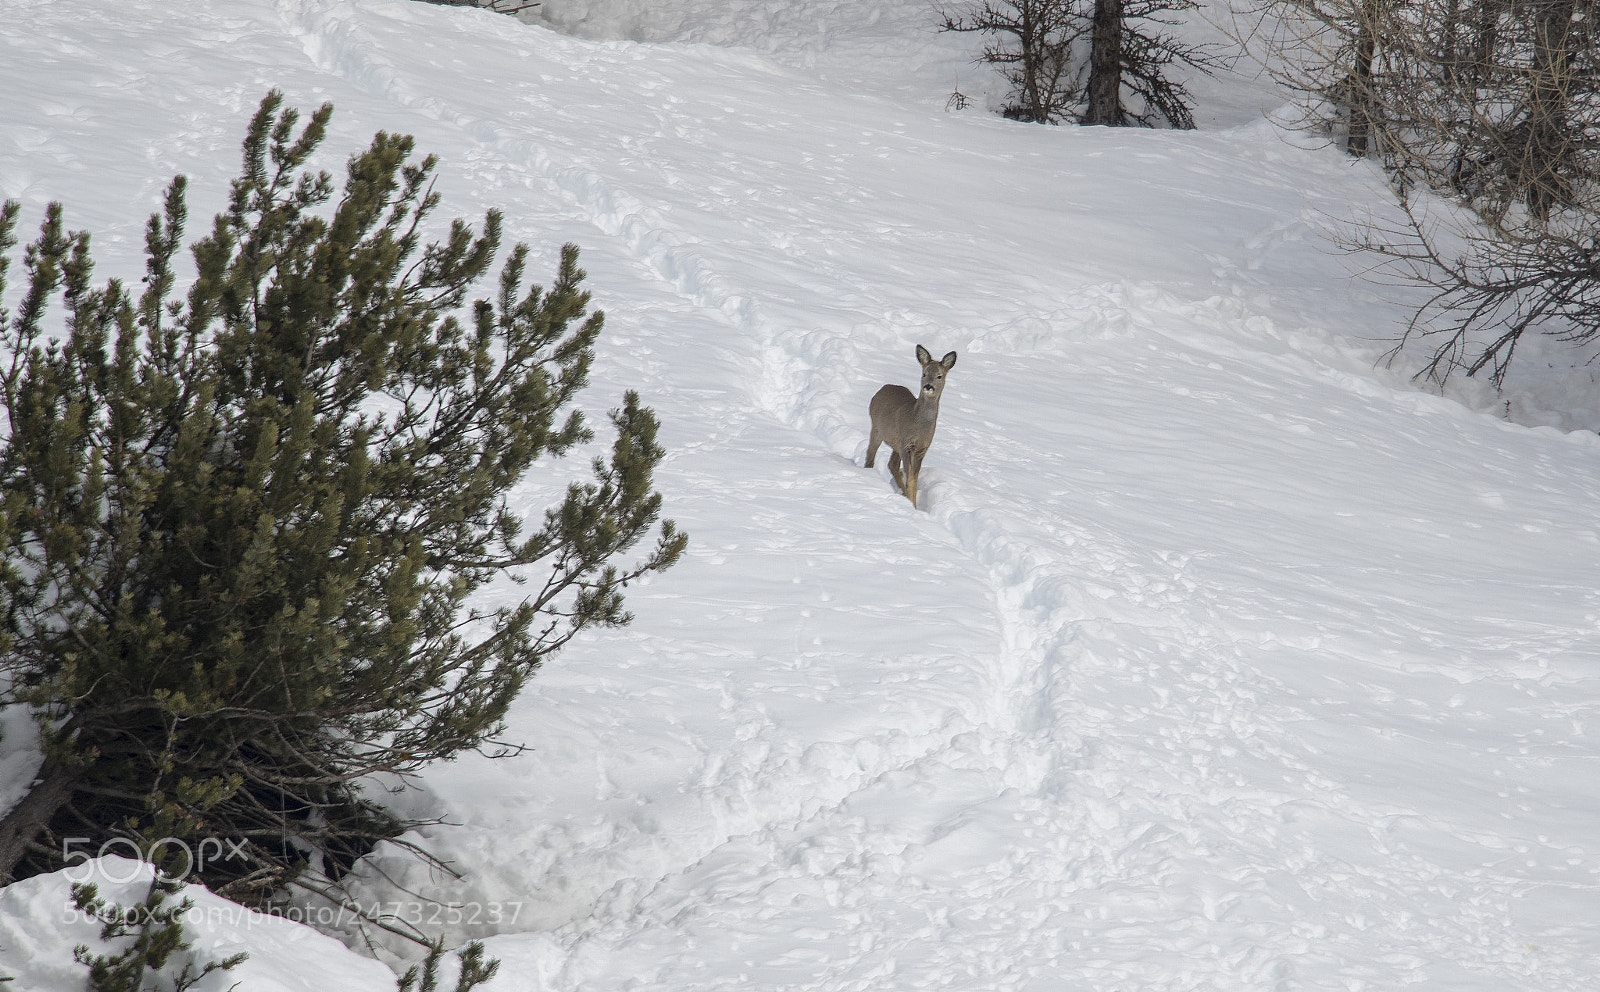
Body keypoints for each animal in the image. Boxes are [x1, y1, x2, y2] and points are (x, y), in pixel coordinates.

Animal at [865, 344, 958, 509]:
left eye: (939, 376)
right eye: (924, 373)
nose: (928, 386)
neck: (918, 423)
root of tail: (882, 388)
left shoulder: (921, 448)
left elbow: (914, 477)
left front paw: (912, 503)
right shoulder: (906, 444)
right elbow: (911, 479)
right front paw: (912, 506)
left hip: (895, 442)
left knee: (892, 464)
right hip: (877, 428)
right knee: (870, 455)